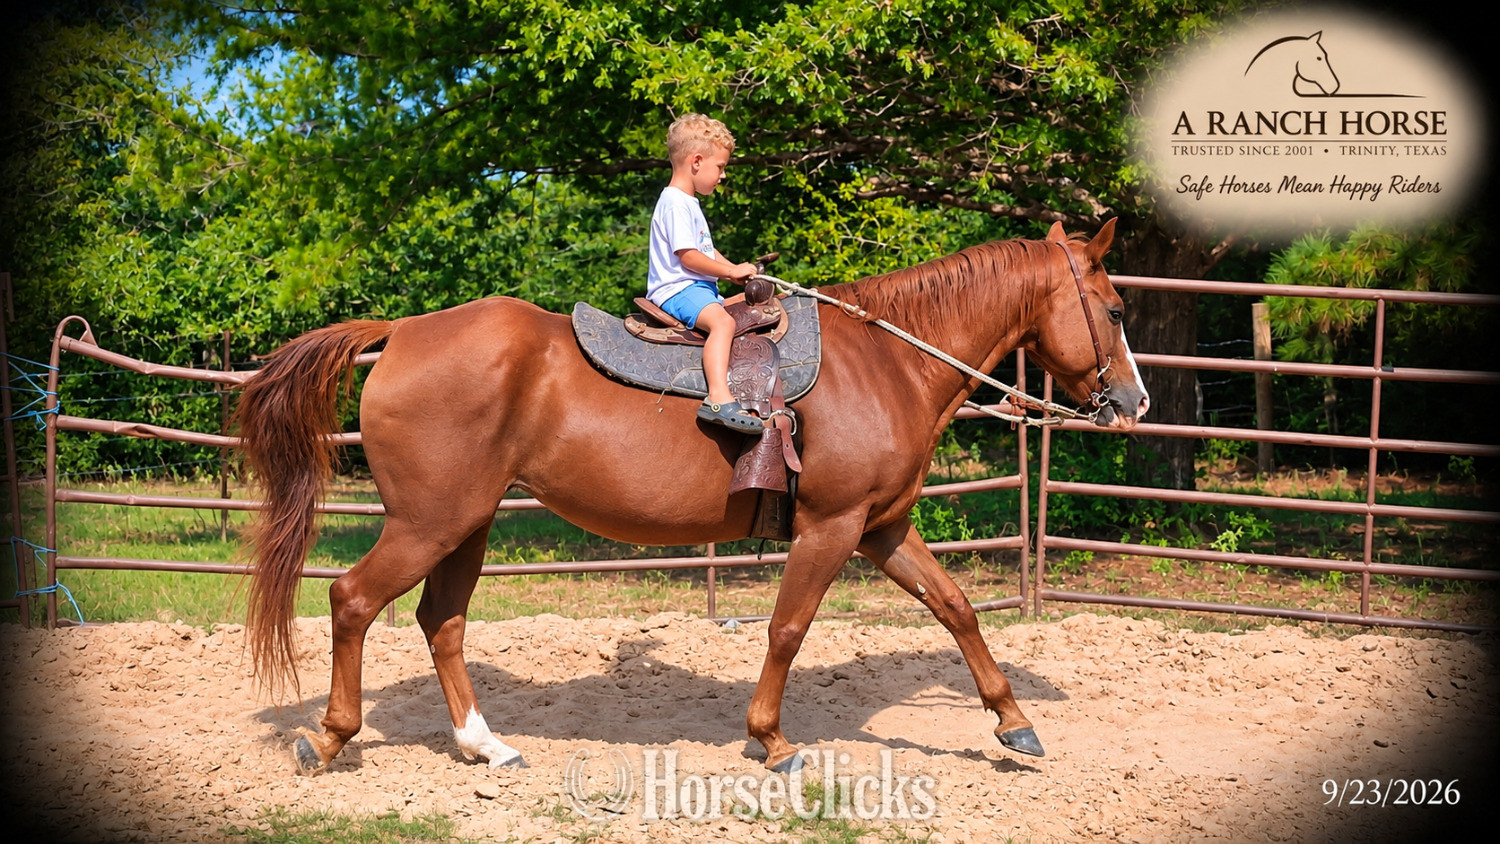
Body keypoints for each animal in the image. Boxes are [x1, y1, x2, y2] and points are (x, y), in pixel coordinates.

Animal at [233, 218, 1150, 775]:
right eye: (1112, 307)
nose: (1135, 402)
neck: (888, 362)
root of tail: (403, 332)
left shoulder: (881, 528)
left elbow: (956, 609)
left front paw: (1012, 721)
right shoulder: (832, 527)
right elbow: (787, 630)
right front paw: (771, 739)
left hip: (468, 523)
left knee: (441, 623)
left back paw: (485, 745)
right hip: (430, 521)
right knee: (354, 601)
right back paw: (329, 738)